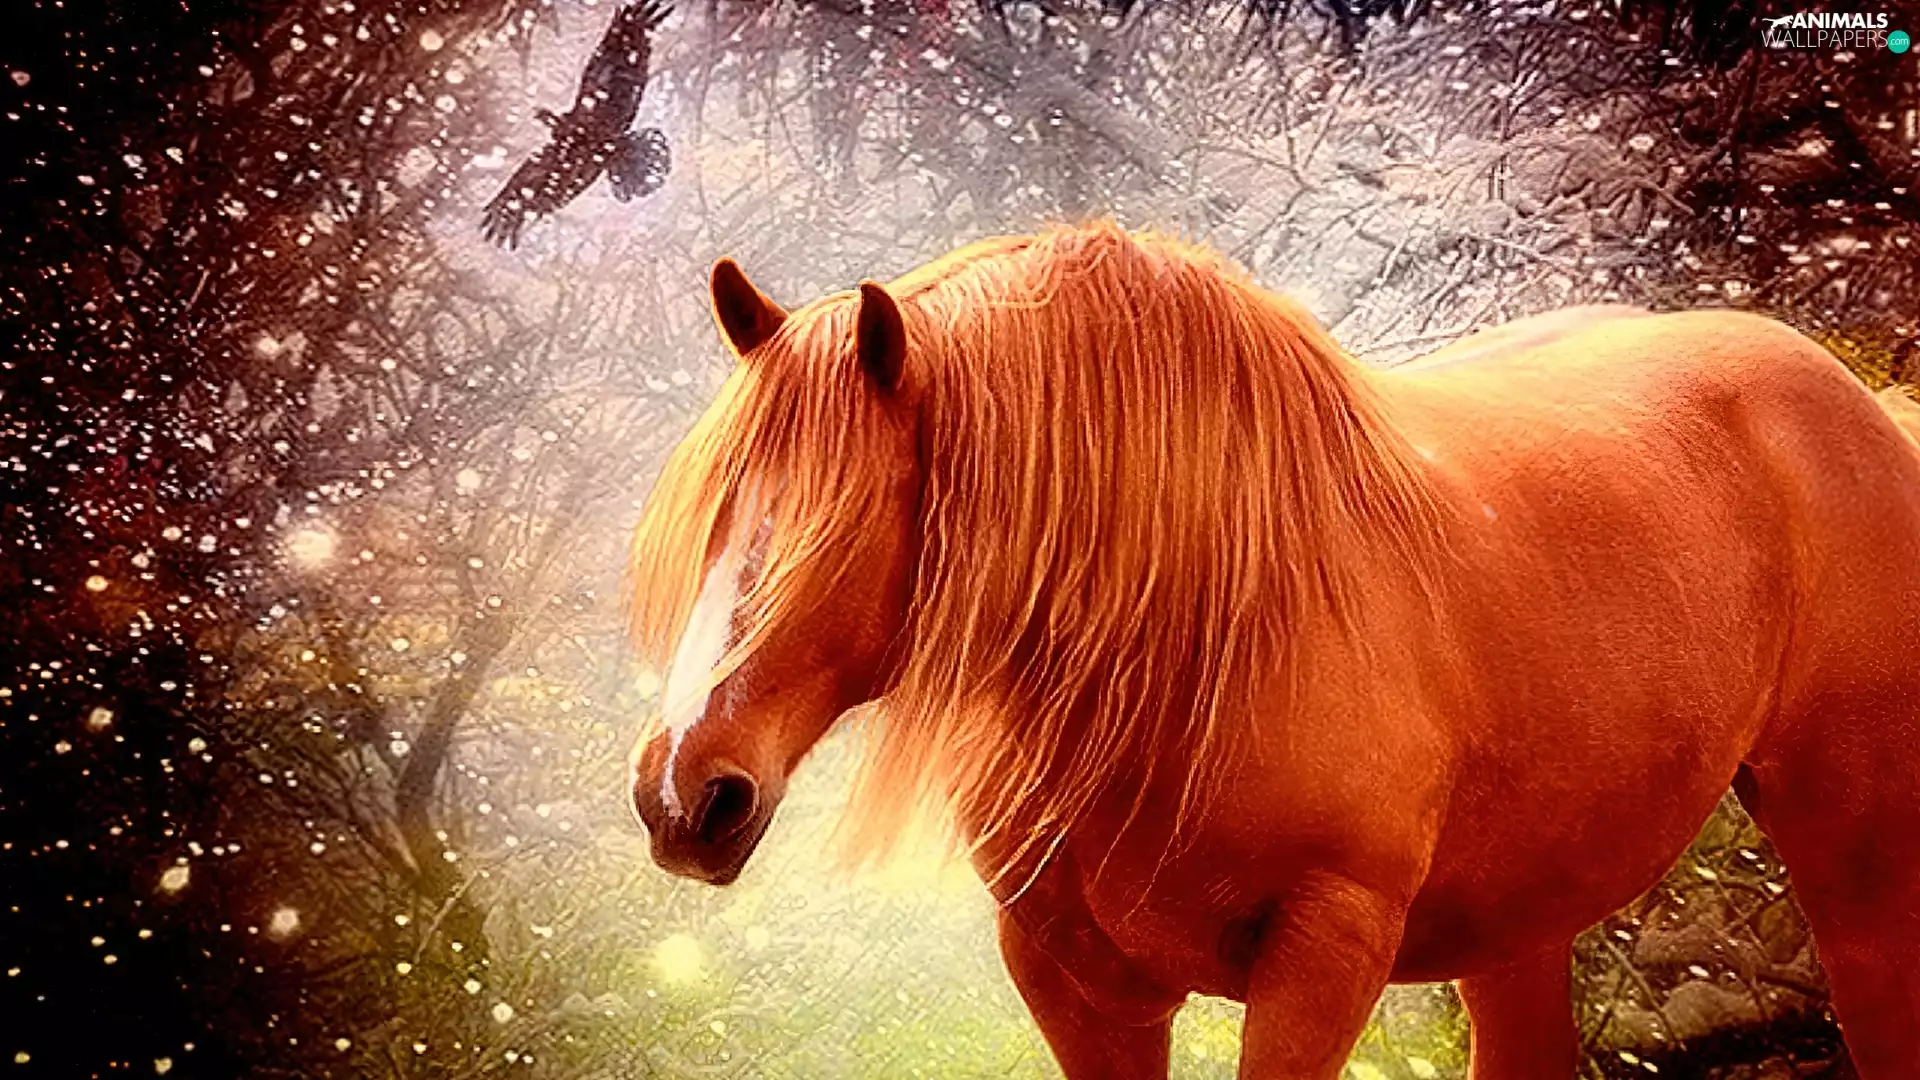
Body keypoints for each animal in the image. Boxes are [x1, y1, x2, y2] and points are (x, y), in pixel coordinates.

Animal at [624, 221, 1920, 1078]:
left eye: (838, 530)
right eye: (718, 519)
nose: (685, 794)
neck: (1191, 634)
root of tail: (1856, 401)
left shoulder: (1320, 953)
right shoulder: (1075, 981)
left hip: (1853, 857)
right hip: (1522, 923)